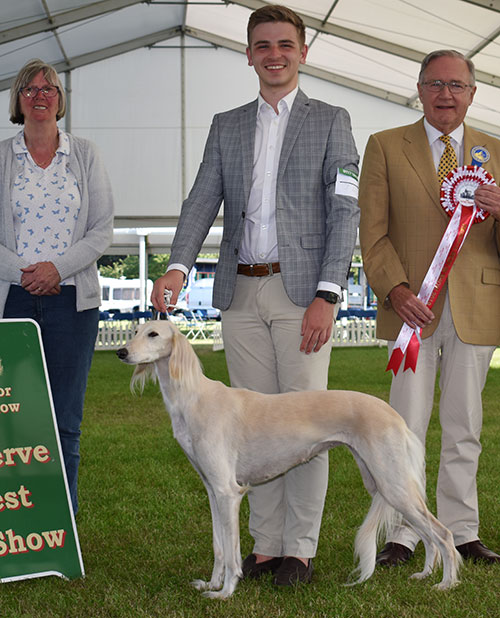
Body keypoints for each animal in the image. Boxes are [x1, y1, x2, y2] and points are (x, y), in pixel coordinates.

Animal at [117, 320, 460, 596]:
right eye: (134, 331)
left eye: (153, 334)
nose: (121, 352)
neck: (193, 398)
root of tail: (396, 416)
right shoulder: (213, 490)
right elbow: (218, 546)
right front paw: (211, 584)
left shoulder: (229, 492)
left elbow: (230, 550)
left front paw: (225, 592)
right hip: (383, 483)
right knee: (428, 534)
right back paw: (425, 575)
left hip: (393, 483)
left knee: (443, 533)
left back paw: (446, 584)